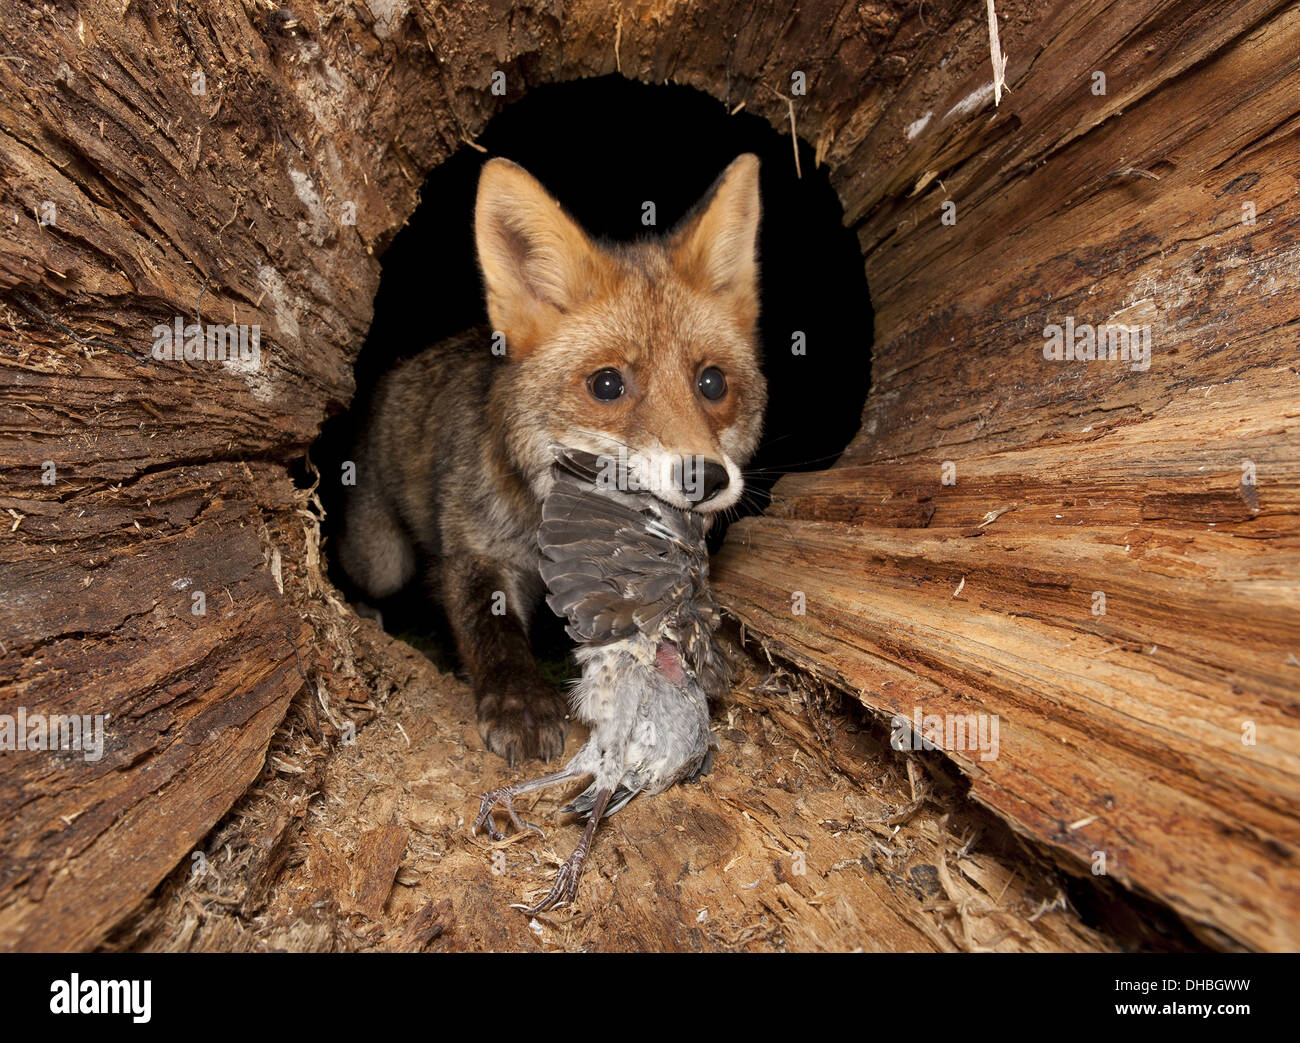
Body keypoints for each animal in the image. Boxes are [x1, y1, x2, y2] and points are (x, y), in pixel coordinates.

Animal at [338, 150, 759, 759]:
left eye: (712, 383)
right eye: (607, 385)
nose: (705, 477)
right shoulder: (475, 553)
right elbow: (494, 635)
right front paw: (520, 702)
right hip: (382, 561)